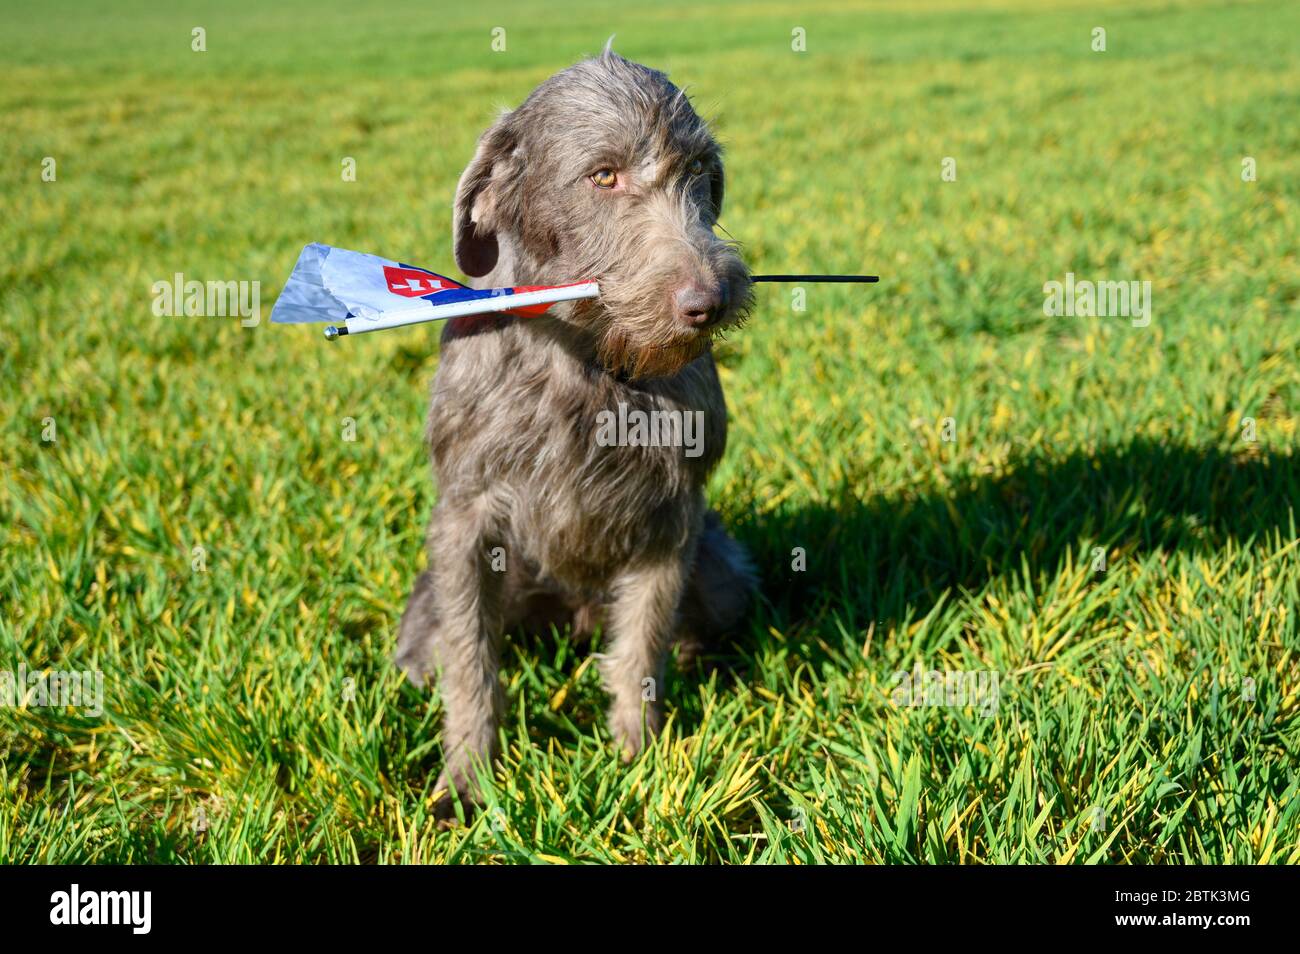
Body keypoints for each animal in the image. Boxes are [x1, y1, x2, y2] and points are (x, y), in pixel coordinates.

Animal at [397, 48, 759, 816]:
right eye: (603, 175)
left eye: (700, 171)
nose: (709, 302)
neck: (586, 357)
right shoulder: (465, 520)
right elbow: (470, 662)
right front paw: (466, 777)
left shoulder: (672, 519)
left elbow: (640, 649)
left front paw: (638, 755)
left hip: (723, 574)